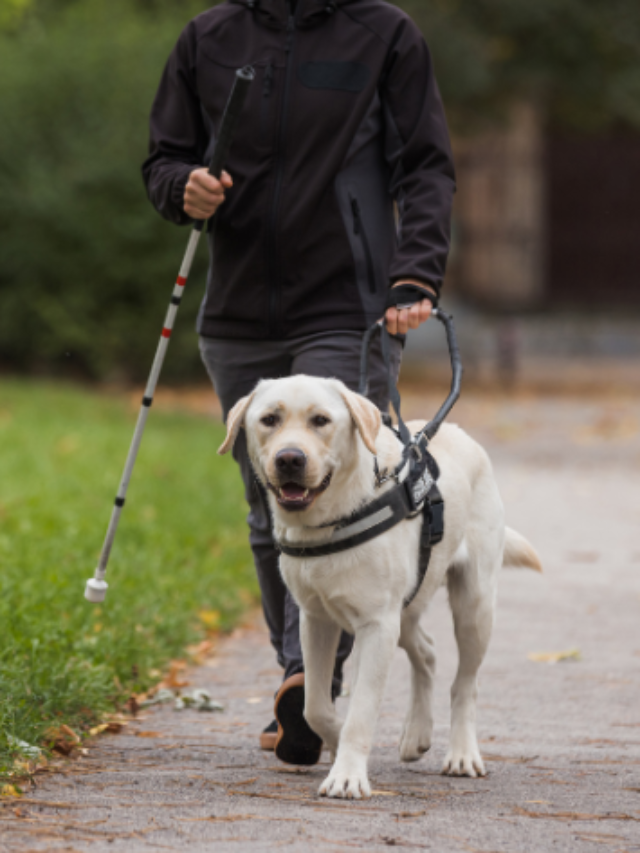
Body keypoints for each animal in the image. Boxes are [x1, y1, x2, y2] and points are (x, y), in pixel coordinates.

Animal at [220, 376, 540, 796]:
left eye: (321, 420)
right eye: (269, 419)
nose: (290, 459)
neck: (331, 518)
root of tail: (459, 432)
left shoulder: (377, 625)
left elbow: (361, 711)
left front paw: (347, 775)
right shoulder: (316, 618)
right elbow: (315, 705)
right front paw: (331, 740)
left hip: (474, 605)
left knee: (465, 683)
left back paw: (461, 754)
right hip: (406, 610)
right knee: (427, 652)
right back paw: (416, 735)